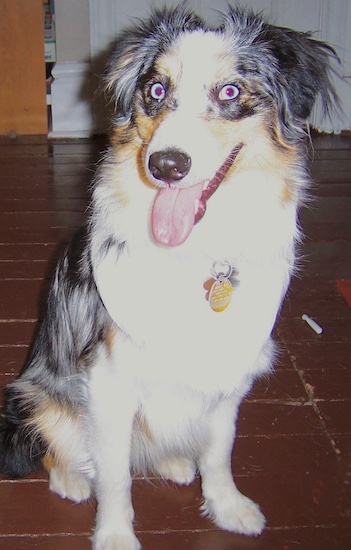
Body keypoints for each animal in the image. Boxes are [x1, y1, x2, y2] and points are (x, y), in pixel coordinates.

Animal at [0, 4, 338, 550]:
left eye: (230, 91)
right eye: (156, 89)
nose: (166, 165)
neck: (198, 253)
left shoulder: (230, 371)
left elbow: (220, 450)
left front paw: (228, 507)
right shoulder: (109, 378)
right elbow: (115, 474)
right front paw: (115, 535)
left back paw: (177, 463)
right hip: (41, 392)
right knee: (56, 443)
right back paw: (73, 479)